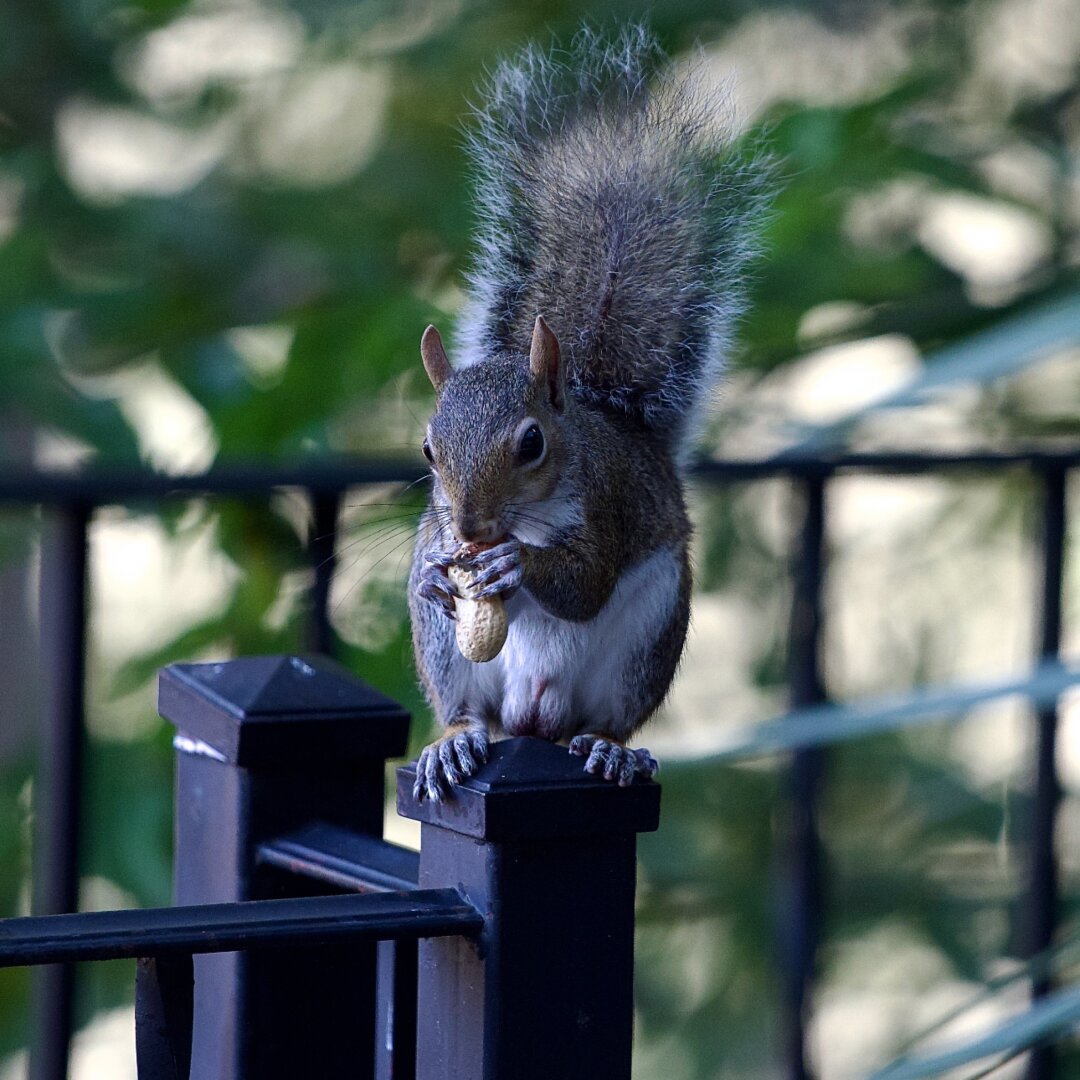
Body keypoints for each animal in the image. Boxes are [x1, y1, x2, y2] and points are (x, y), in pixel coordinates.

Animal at [408, 25, 769, 801]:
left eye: (532, 444)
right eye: (428, 450)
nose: (472, 531)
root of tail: (534, 712)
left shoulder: (609, 506)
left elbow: (584, 584)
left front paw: (517, 564)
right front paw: (438, 577)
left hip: (646, 641)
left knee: (610, 717)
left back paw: (610, 749)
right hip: (448, 656)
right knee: (466, 711)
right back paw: (452, 743)